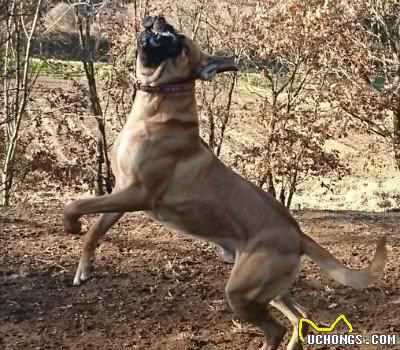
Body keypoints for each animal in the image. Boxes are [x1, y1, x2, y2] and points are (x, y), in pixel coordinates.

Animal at [65, 16, 388, 350]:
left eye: (179, 41)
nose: (160, 20)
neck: (157, 105)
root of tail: (299, 236)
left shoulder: (138, 193)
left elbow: (75, 205)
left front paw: (72, 226)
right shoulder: (121, 192)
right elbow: (94, 230)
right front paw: (84, 268)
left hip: (242, 291)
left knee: (275, 328)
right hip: (269, 289)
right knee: (300, 316)